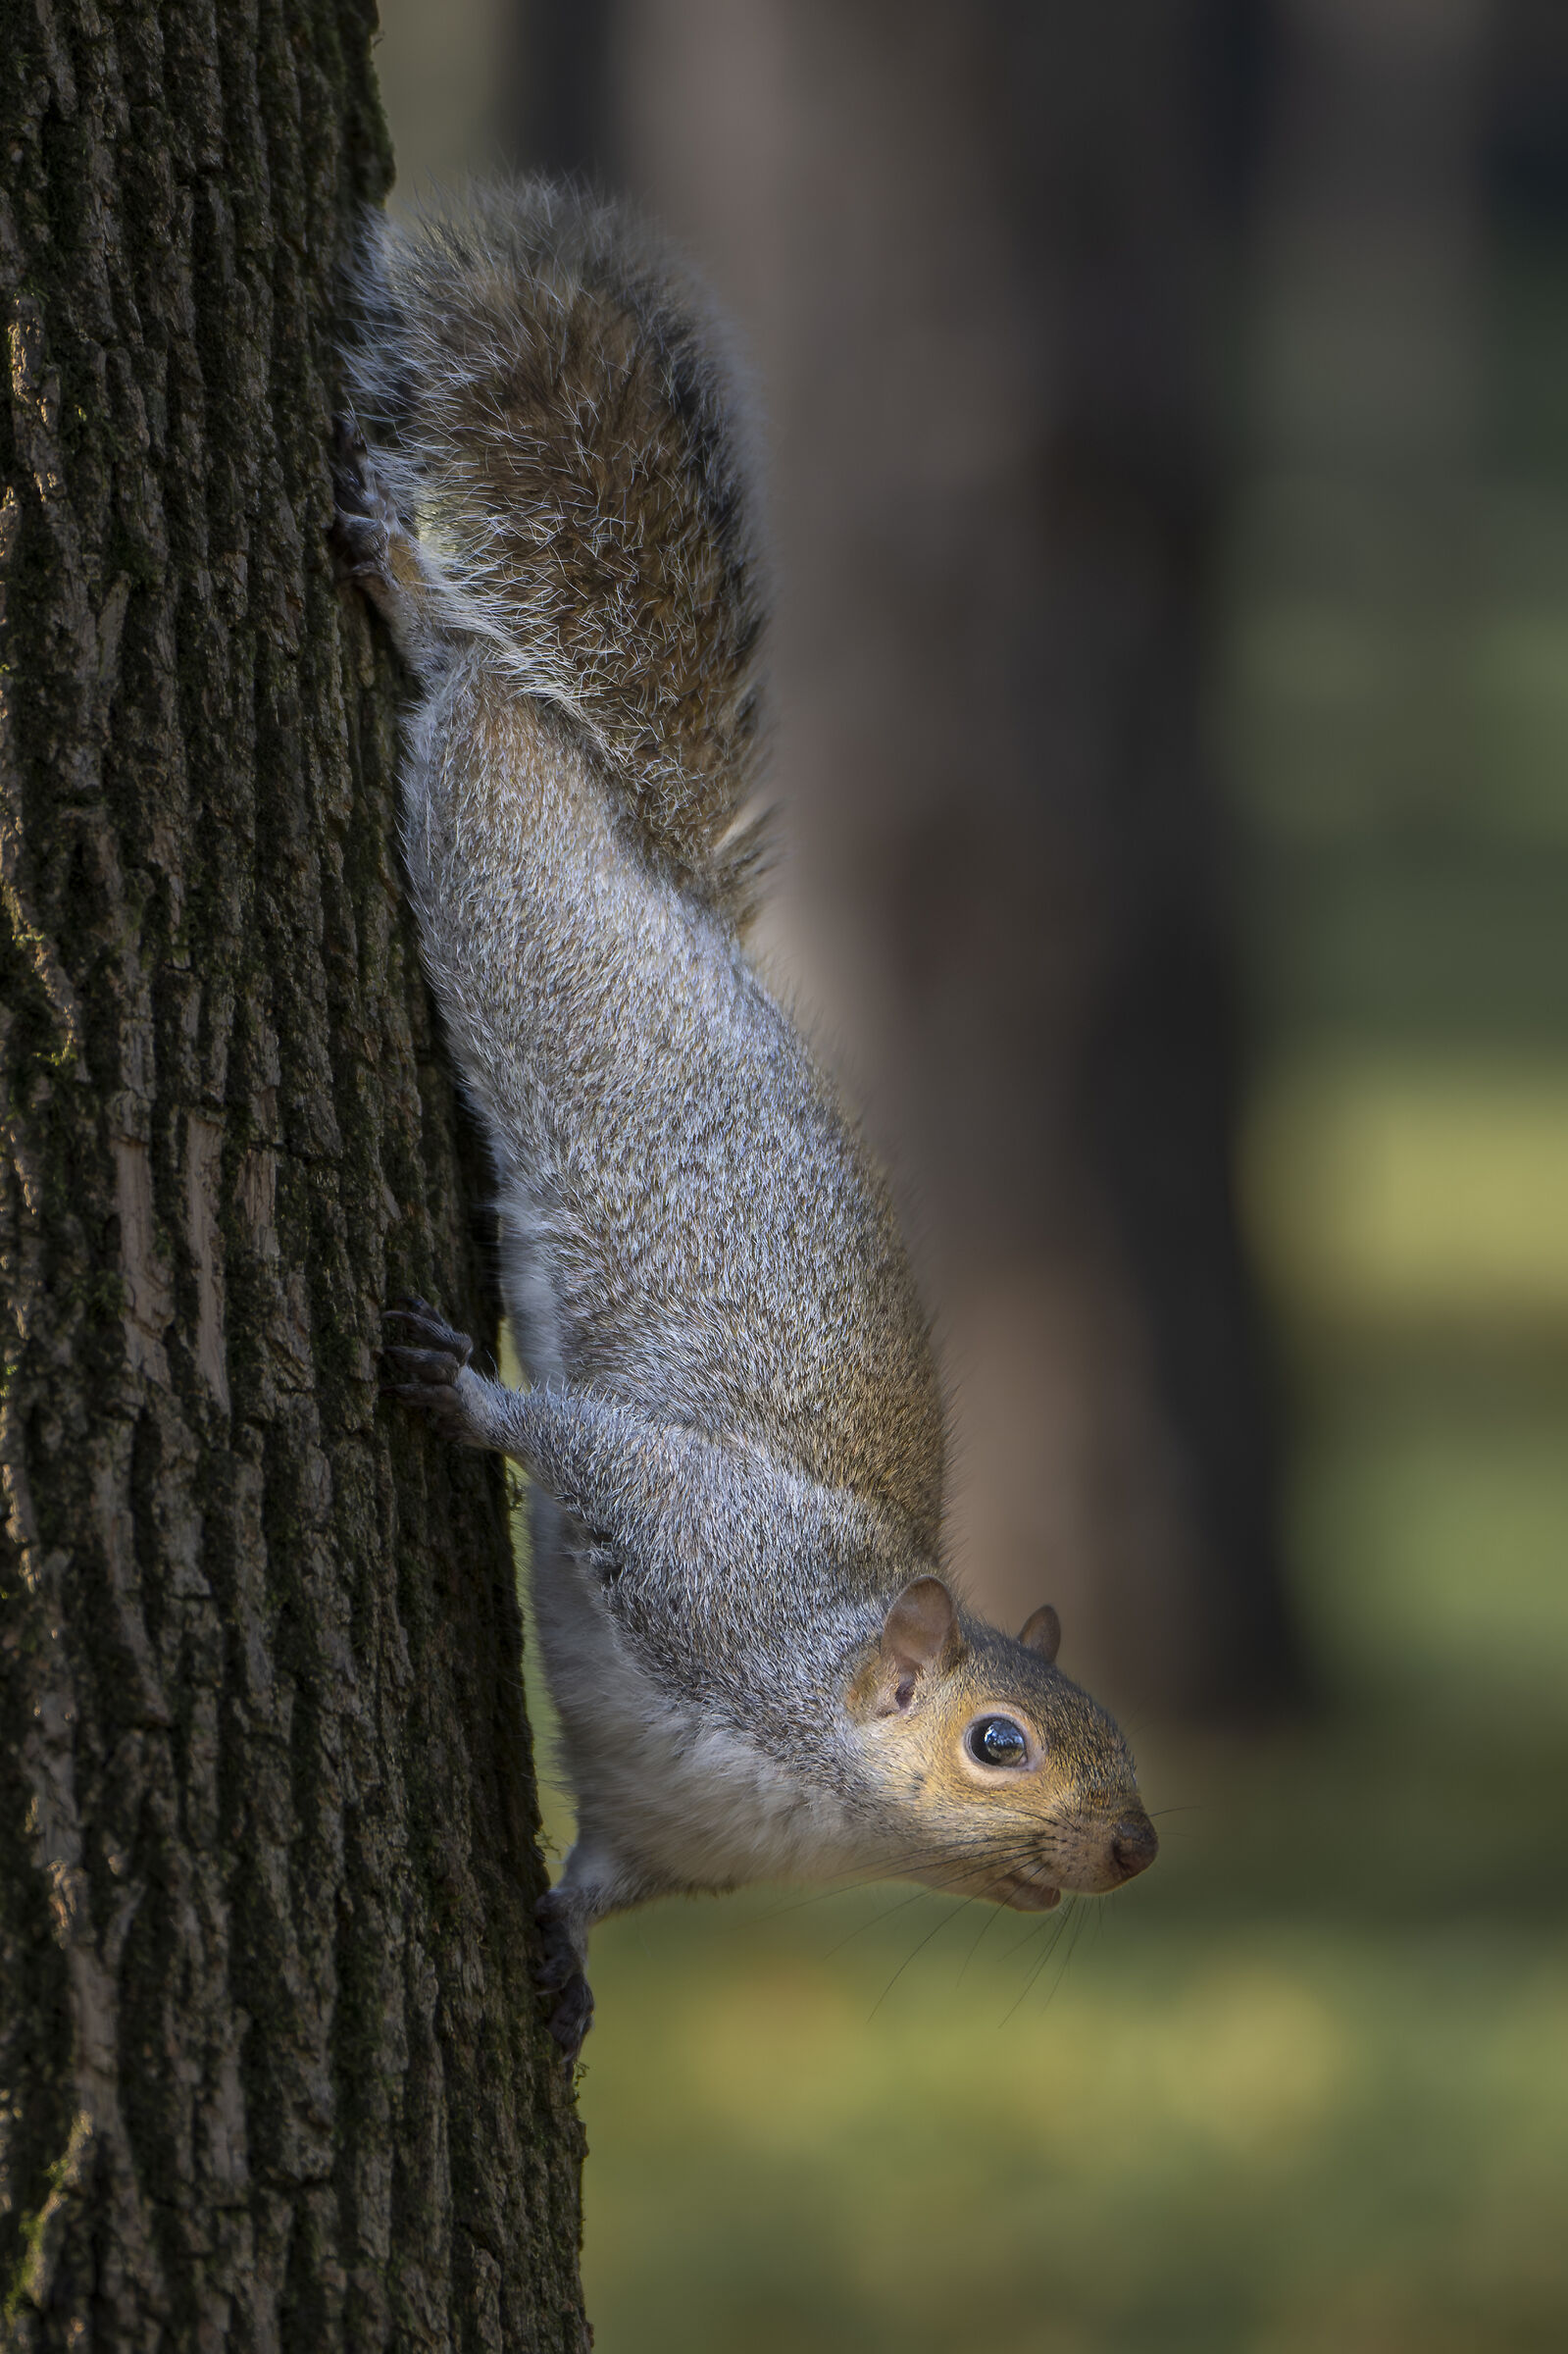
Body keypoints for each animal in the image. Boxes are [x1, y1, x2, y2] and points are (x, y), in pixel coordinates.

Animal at [333, 180, 1158, 2061]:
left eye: (1116, 1730)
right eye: (998, 1742)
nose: (1138, 1849)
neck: (811, 1780)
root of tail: (673, 896)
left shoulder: (671, 1833)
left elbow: (599, 1882)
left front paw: (560, 1962)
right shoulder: (702, 1553)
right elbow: (582, 1446)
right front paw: (460, 1394)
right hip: (515, 908)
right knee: (489, 720)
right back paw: (418, 597)